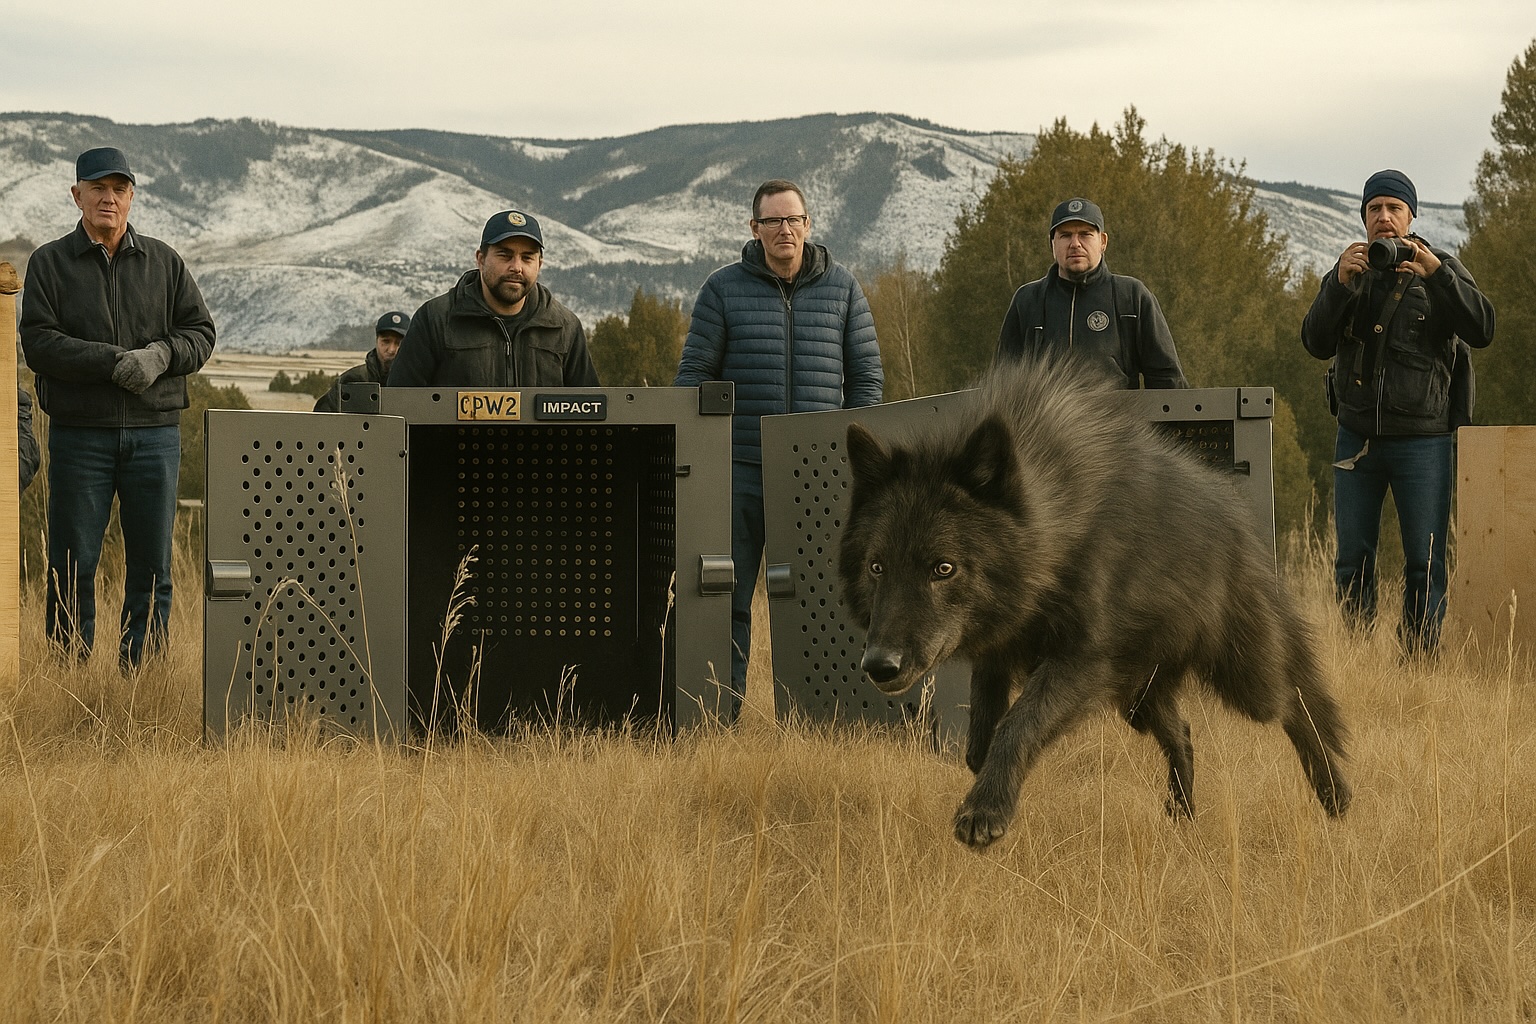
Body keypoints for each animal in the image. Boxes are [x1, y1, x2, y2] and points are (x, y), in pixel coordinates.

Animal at [839, 356, 1351, 848]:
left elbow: (1017, 725)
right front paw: (986, 779)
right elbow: (981, 735)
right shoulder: (997, 652)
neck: (1058, 524)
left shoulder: (1078, 662)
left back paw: (1335, 794)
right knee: (1185, 735)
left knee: (1297, 703)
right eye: (877, 567)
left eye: (943, 569)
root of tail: (1242, 523)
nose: (879, 666)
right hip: (1138, 699)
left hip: (1244, 682)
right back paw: (1181, 815)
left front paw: (985, 811)